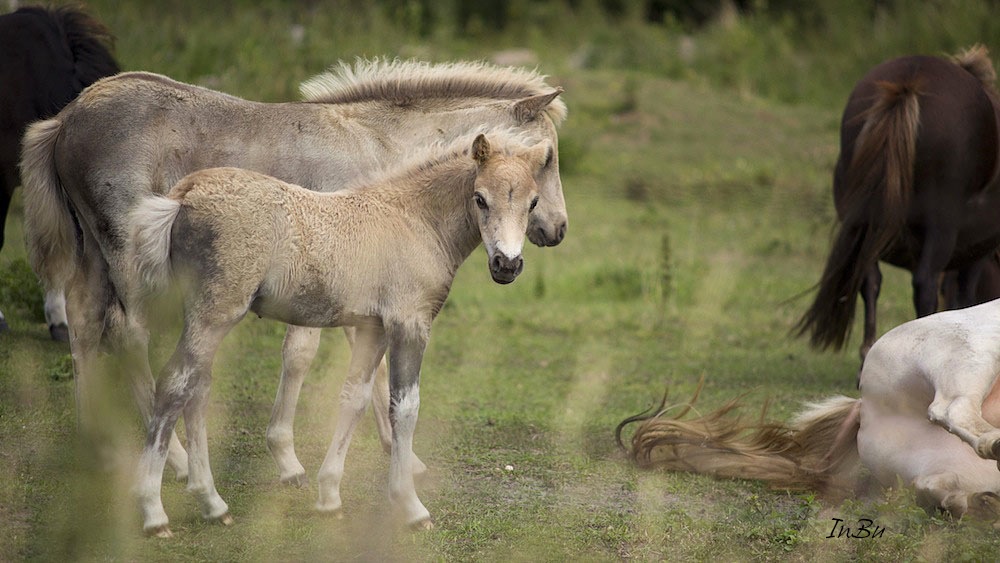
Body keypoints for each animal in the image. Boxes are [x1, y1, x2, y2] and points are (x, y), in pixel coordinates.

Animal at [20, 60, 566, 484]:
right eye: (548, 158)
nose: (557, 229)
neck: (376, 152)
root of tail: (67, 117)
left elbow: (366, 365)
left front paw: (398, 455)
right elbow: (303, 355)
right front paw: (288, 459)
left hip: (94, 253)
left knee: (83, 322)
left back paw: (94, 442)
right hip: (127, 255)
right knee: (128, 334)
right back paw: (172, 458)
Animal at [129, 131, 549, 536]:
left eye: (532, 203)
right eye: (480, 199)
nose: (507, 264)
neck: (414, 220)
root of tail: (185, 192)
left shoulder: (372, 328)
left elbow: (354, 398)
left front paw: (329, 495)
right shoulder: (409, 322)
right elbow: (405, 407)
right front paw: (411, 506)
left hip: (204, 316)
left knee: (198, 389)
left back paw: (213, 504)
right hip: (215, 312)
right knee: (175, 384)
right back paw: (154, 512)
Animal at [794, 45, 1000, 361]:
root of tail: (908, 83)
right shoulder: (977, 252)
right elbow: (963, 297)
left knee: (869, 279)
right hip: (941, 227)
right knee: (924, 284)